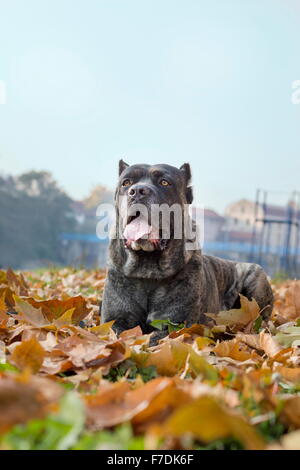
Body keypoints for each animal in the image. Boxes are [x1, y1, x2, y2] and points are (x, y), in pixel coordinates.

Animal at [101, 160, 274, 344]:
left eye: (164, 182)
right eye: (126, 183)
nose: (138, 191)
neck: (147, 268)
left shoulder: (176, 325)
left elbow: (155, 340)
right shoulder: (115, 321)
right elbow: (117, 335)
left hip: (256, 276)